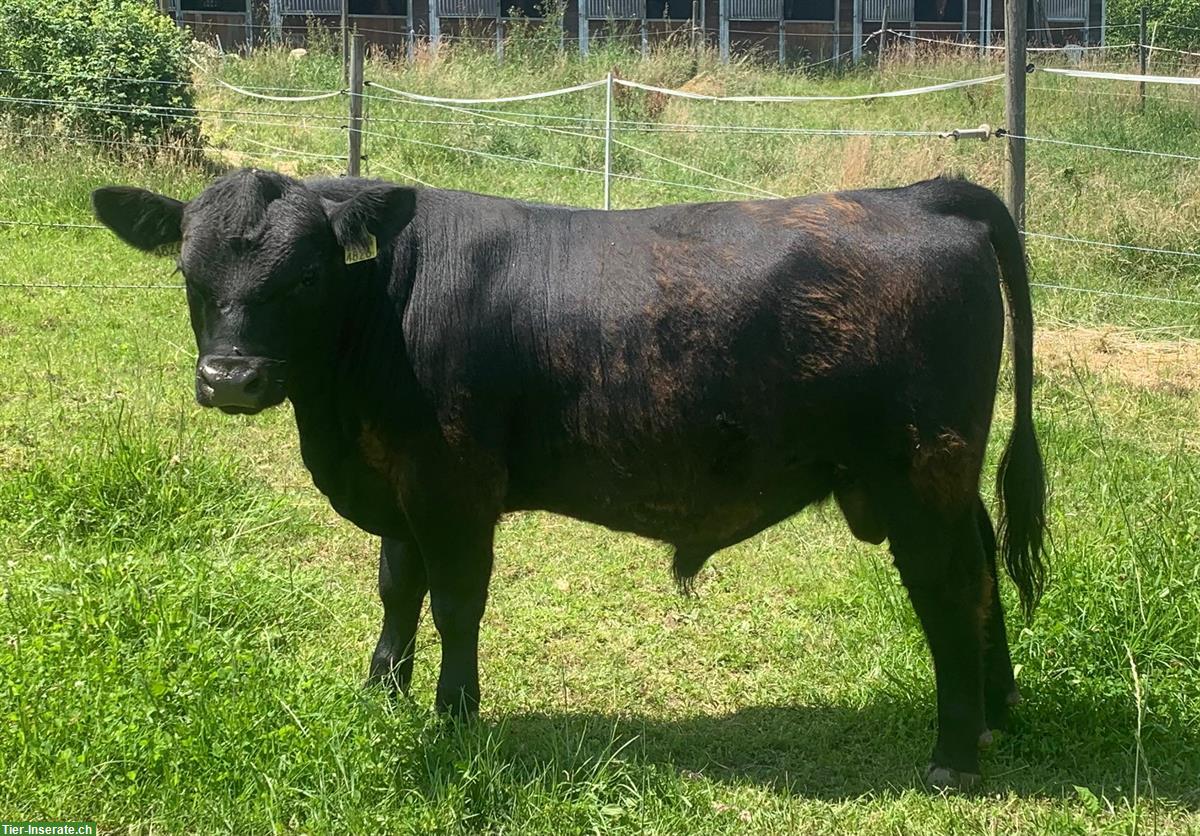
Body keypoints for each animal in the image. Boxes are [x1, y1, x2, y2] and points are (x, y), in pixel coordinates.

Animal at [93, 171, 1046, 786]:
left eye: (306, 274)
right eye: (189, 273)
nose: (231, 379)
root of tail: (922, 192)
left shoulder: (452, 483)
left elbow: (455, 600)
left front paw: (454, 714)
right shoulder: (398, 482)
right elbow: (397, 587)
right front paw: (380, 692)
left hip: (921, 473)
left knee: (953, 586)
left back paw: (954, 757)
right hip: (944, 478)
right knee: (984, 573)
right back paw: (998, 711)